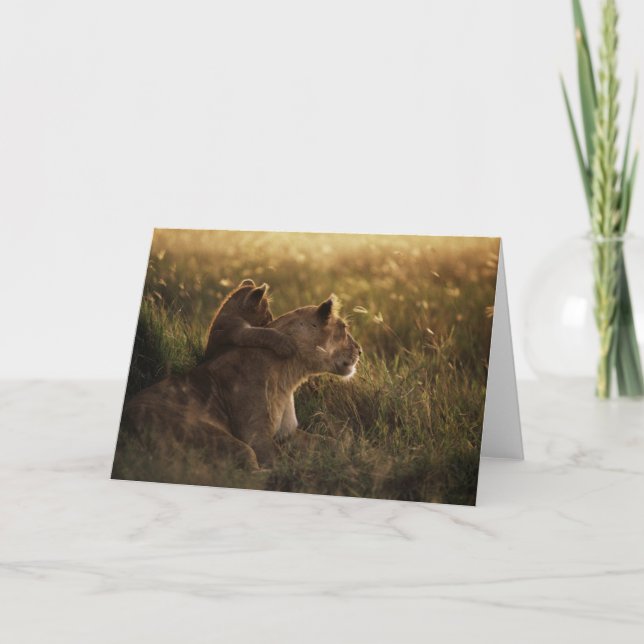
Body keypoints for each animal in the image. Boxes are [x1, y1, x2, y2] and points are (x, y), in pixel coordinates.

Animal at [112, 296, 361, 476]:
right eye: (344, 328)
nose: (360, 350)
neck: (290, 374)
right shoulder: (257, 438)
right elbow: (281, 459)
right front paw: (315, 467)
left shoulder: (287, 433)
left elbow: (333, 442)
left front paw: (345, 450)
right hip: (218, 438)